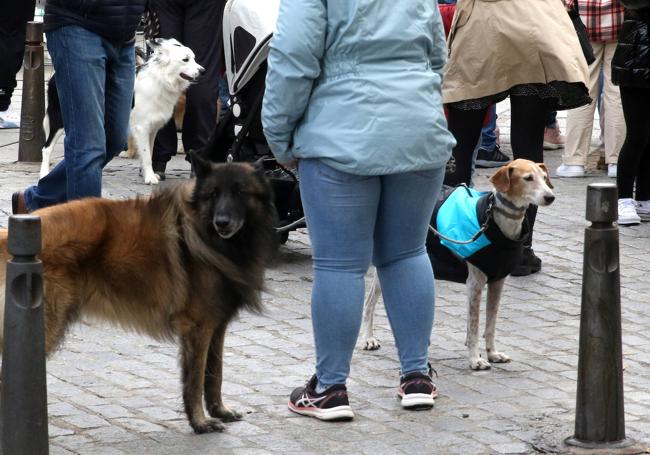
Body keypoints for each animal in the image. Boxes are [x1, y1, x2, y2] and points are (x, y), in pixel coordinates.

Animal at [121, 37, 202, 183]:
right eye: (185, 59)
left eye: (193, 58)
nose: (203, 70)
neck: (161, 80)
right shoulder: (141, 127)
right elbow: (147, 155)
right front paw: (150, 178)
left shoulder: (152, 128)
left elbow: (150, 152)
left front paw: (148, 173)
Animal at [360, 159, 552, 370]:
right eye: (528, 178)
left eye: (544, 178)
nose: (550, 197)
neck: (497, 224)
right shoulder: (475, 283)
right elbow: (474, 326)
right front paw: (475, 359)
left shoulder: (497, 282)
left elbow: (490, 324)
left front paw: (492, 353)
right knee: (369, 303)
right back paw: (368, 338)